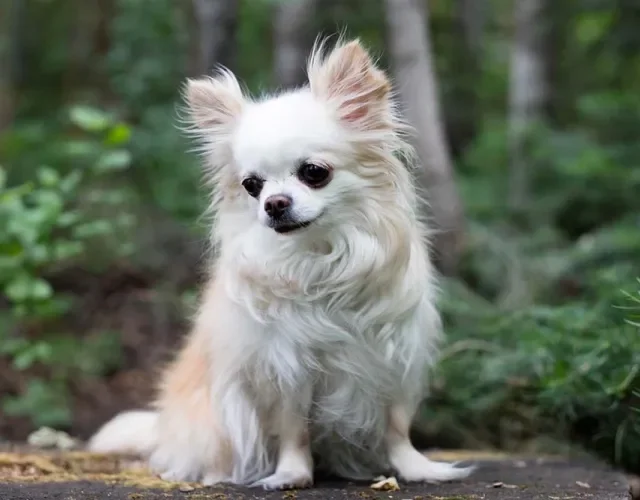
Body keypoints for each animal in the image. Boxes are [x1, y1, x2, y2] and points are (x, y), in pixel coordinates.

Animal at [87, 38, 472, 488]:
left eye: (314, 172)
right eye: (251, 185)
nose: (274, 203)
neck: (320, 255)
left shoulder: (392, 358)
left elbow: (396, 425)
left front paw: (416, 468)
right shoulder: (283, 366)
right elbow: (292, 428)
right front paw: (291, 474)